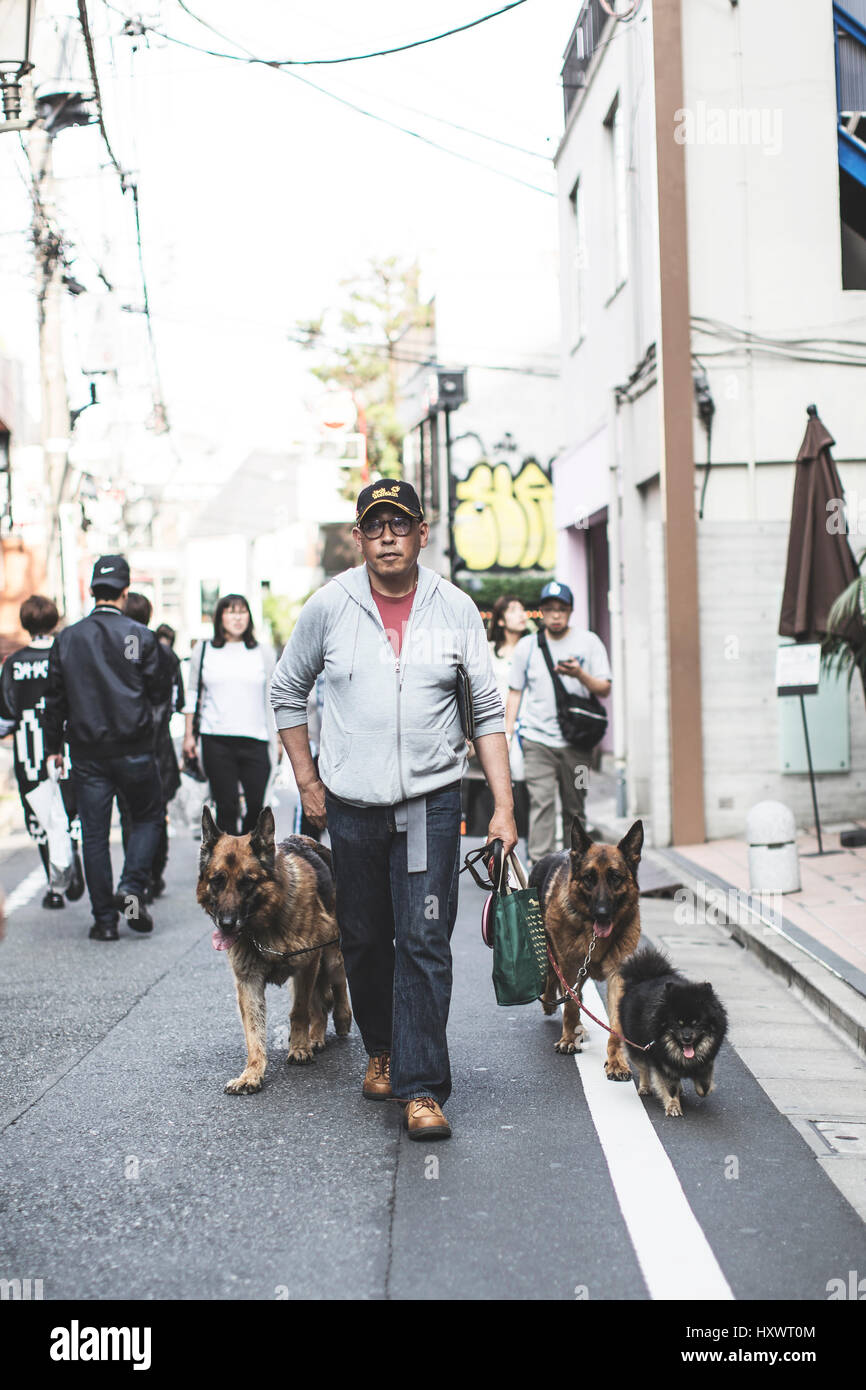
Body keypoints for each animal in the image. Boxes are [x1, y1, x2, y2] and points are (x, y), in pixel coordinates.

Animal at [198, 811, 353, 1089]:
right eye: (217, 881)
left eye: (246, 883)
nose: (226, 924)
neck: (266, 923)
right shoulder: (248, 981)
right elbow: (253, 1030)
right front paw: (252, 1072)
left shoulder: (307, 964)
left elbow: (300, 1010)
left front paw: (299, 1048)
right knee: (321, 1001)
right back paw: (316, 1035)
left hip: (330, 958)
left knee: (337, 984)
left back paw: (340, 1018)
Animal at [528, 817, 644, 1078]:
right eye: (589, 878)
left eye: (615, 877)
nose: (601, 913)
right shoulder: (569, 965)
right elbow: (570, 1005)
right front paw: (568, 1039)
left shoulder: (617, 975)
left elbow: (616, 1023)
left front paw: (617, 1061)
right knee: (552, 979)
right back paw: (551, 1005)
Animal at [619, 945, 728, 1117]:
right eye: (678, 1023)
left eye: (697, 1023)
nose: (687, 1037)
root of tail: (645, 977)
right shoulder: (663, 1064)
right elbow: (669, 1087)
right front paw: (673, 1106)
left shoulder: (706, 1061)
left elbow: (704, 1087)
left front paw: (704, 1088)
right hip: (637, 1046)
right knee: (643, 1068)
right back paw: (645, 1087)